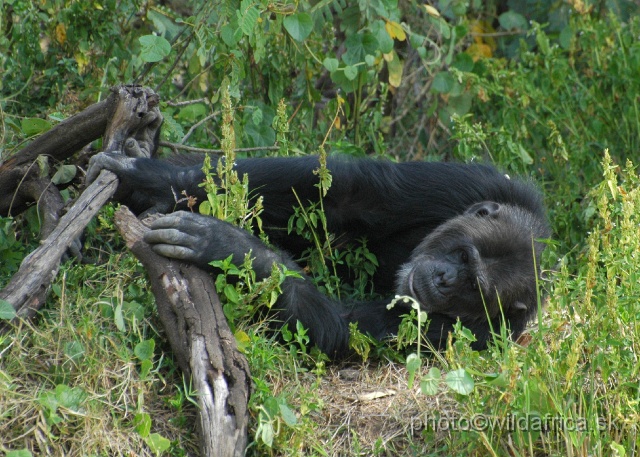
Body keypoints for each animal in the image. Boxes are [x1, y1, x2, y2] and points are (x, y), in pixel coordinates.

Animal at [86, 153, 552, 356]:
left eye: (473, 287)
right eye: (464, 257)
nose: (445, 280)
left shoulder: (484, 333)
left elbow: (344, 328)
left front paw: (230, 247)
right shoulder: (473, 184)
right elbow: (352, 192)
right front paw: (156, 178)